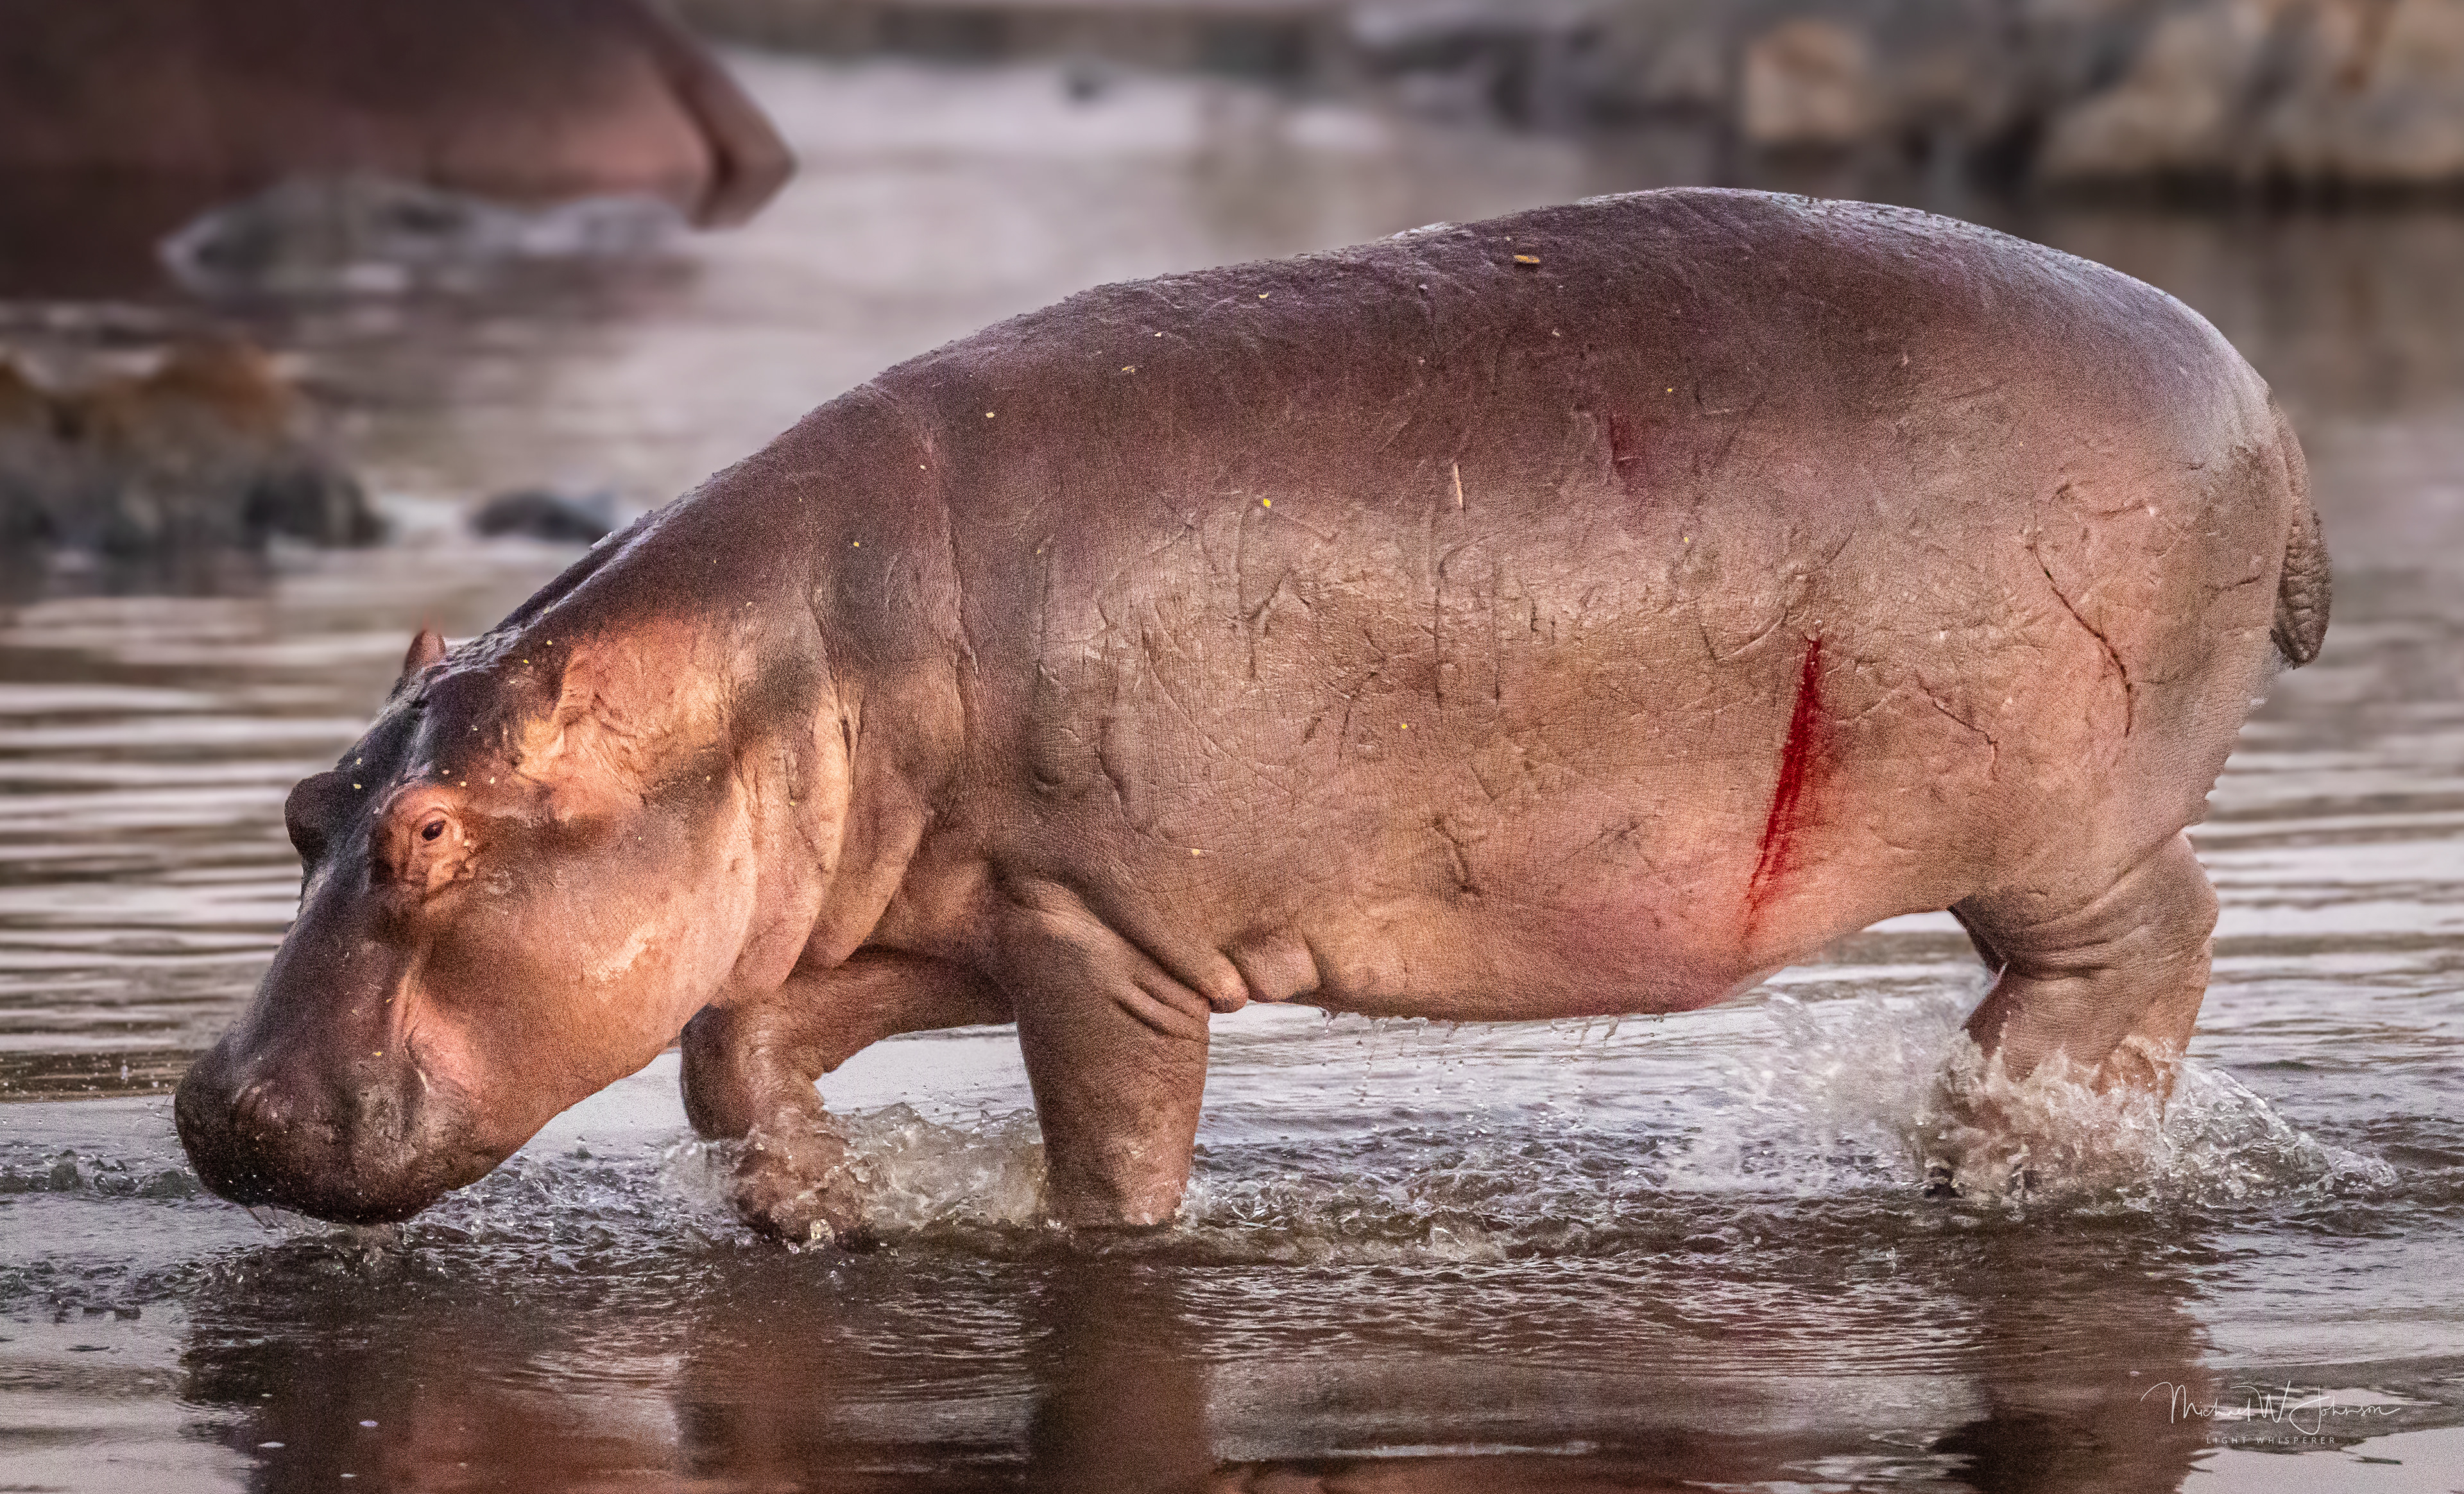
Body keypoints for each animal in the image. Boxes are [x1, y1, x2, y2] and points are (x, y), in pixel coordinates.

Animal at [176, 190, 2327, 1240]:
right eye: (302, 810)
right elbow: (737, 1043)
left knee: (2156, 940)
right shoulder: (953, 902)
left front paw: (1091, 1239)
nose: (216, 1108)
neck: (774, 681)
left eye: (428, 837)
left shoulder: (1098, 934)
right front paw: (817, 1216)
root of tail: (2257, 386)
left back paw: (2010, 1146)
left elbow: (1112, 1154)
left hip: (2062, 821)